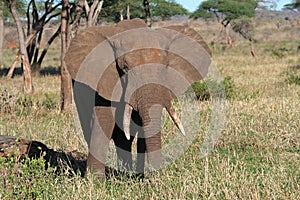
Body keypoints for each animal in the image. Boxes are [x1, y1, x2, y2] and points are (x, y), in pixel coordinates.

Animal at [64, 18, 212, 178]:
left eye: (166, 66)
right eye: (125, 68)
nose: (157, 176)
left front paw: (143, 178)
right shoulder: (103, 79)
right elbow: (104, 120)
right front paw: (95, 181)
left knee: (124, 138)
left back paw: (126, 174)